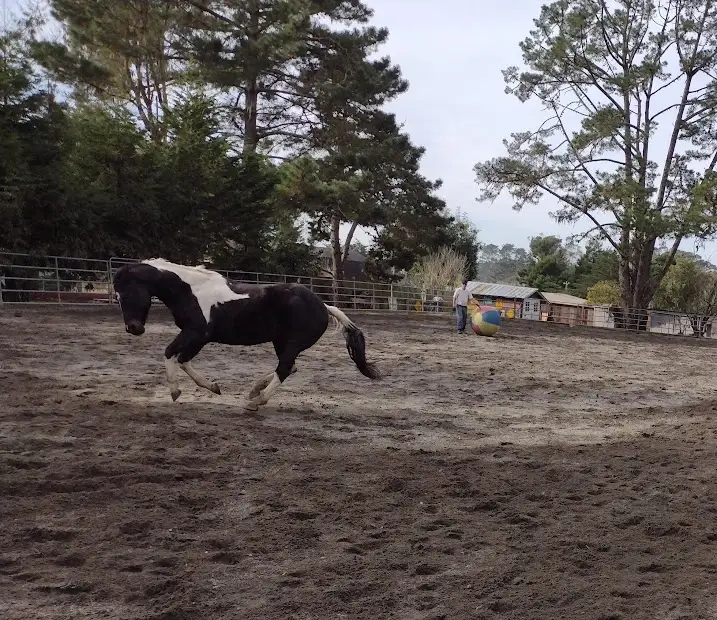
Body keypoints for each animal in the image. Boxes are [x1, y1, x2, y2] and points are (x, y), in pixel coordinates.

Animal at [112, 258, 381, 410]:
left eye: (126, 293)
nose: (133, 328)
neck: (190, 290)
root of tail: (324, 306)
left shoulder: (197, 333)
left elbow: (170, 353)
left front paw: (175, 392)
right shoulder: (198, 337)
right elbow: (183, 359)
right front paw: (213, 387)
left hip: (292, 343)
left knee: (284, 369)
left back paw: (256, 402)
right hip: (281, 342)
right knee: (289, 367)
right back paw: (254, 391)